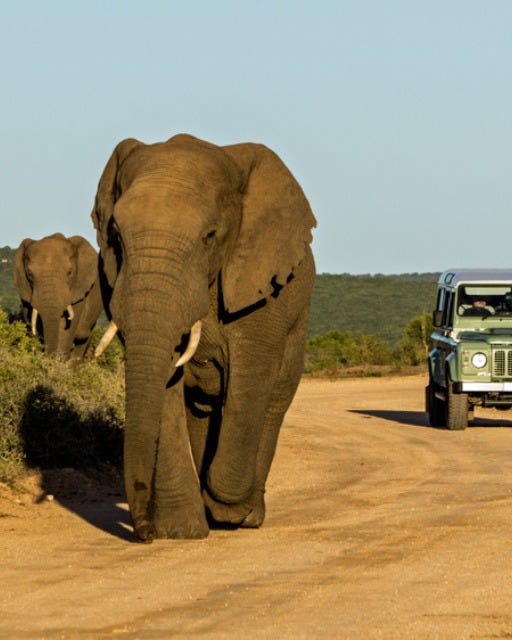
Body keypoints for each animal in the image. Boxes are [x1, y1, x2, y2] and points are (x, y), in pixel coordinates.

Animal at [91, 133, 316, 541]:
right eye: (115, 236)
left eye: (209, 237)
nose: (144, 532)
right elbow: (166, 388)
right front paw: (181, 530)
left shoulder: (261, 289)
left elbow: (252, 378)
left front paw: (226, 509)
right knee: (201, 408)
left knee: (273, 401)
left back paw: (246, 517)